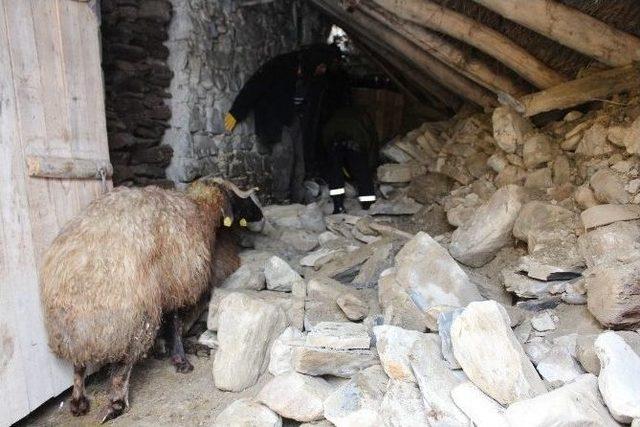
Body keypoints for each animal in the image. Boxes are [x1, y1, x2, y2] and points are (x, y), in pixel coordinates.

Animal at [40, 177, 262, 422]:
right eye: (242, 199)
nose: (261, 214)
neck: (199, 210)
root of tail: (80, 272)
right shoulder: (177, 282)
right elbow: (175, 322)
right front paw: (181, 360)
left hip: (72, 327)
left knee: (78, 364)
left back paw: (79, 401)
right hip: (134, 317)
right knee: (124, 364)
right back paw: (116, 404)